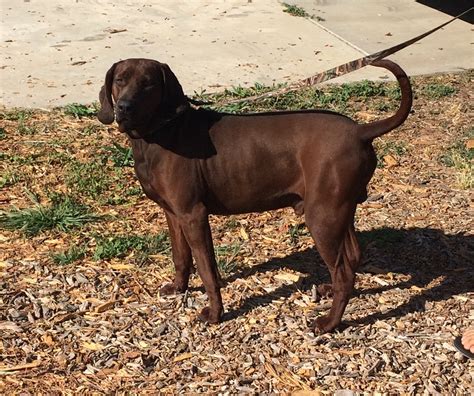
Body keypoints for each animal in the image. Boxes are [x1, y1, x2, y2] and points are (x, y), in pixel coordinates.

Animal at [97, 57, 412, 332]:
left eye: (148, 83)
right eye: (120, 80)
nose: (124, 107)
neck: (162, 132)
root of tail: (361, 131)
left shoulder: (193, 215)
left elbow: (207, 270)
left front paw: (215, 313)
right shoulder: (173, 214)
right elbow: (180, 256)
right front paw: (178, 288)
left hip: (323, 216)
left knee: (343, 272)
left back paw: (329, 323)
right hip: (338, 210)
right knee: (353, 256)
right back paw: (329, 289)